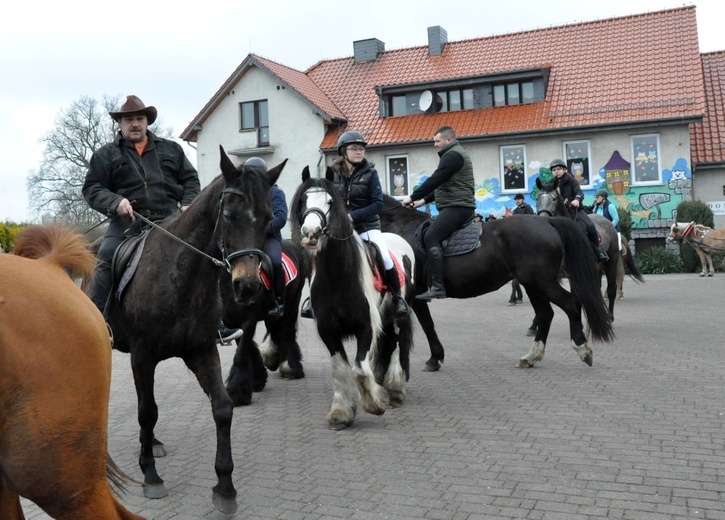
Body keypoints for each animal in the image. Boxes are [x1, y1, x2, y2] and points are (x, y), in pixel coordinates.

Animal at [105, 148, 292, 512]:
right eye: (230, 215)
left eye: (267, 218)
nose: (248, 285)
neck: (178, 275)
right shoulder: (142, 356)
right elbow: (147, 411)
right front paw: (151, 474)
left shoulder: (201, 351)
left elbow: (222, 408)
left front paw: (225, 485)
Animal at [288, 168, 412, 430]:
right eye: (303, 200)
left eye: (330, 202)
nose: (311, 233)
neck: (338, 276)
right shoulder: (328, 331)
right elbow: (340, 369)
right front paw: (341, 413)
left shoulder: (365, 327)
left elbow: (359, 370)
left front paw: (376, 403)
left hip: (399, 315)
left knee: (399, 344)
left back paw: (395, 390)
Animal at [378, 195, 612, 370]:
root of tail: (547, 221)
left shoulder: (414, 295)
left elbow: (427, 325)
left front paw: (434, 358)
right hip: (533, 284)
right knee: (546, 314)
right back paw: (531, 357)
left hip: (542, 282)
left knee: (570, 304)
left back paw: (582, 349)